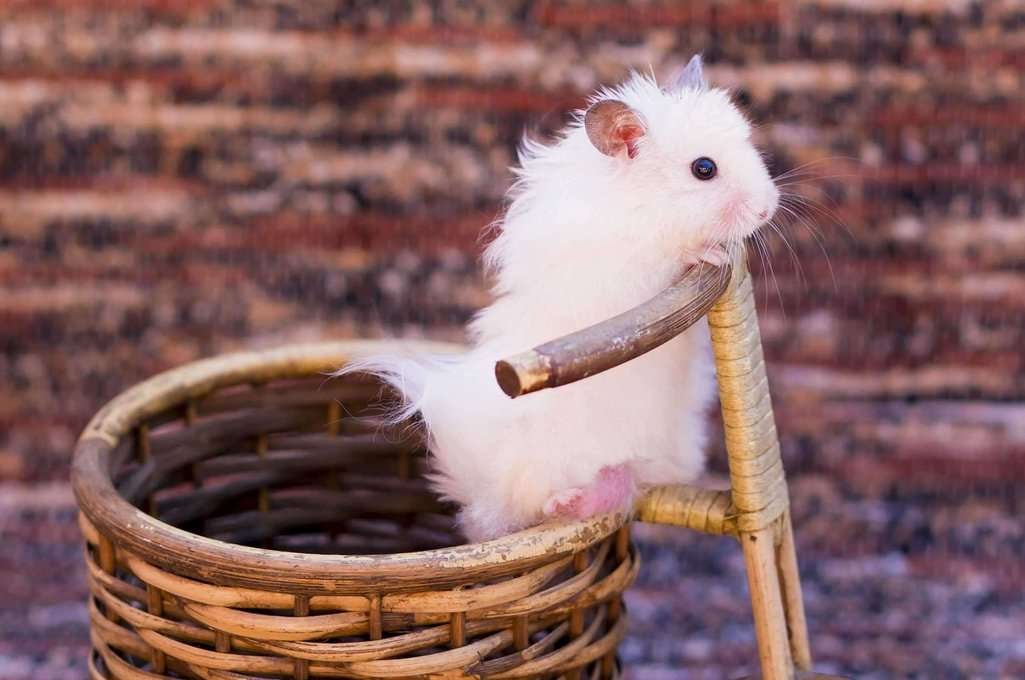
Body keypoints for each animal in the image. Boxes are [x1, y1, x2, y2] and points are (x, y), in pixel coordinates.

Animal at [341, 56, 779, 542]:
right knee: (521, 509)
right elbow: (667, 261)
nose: (769, 208)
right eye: (704, 168)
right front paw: (712, 252)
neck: (646, 207)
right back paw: (565, 501)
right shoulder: (624, 272)